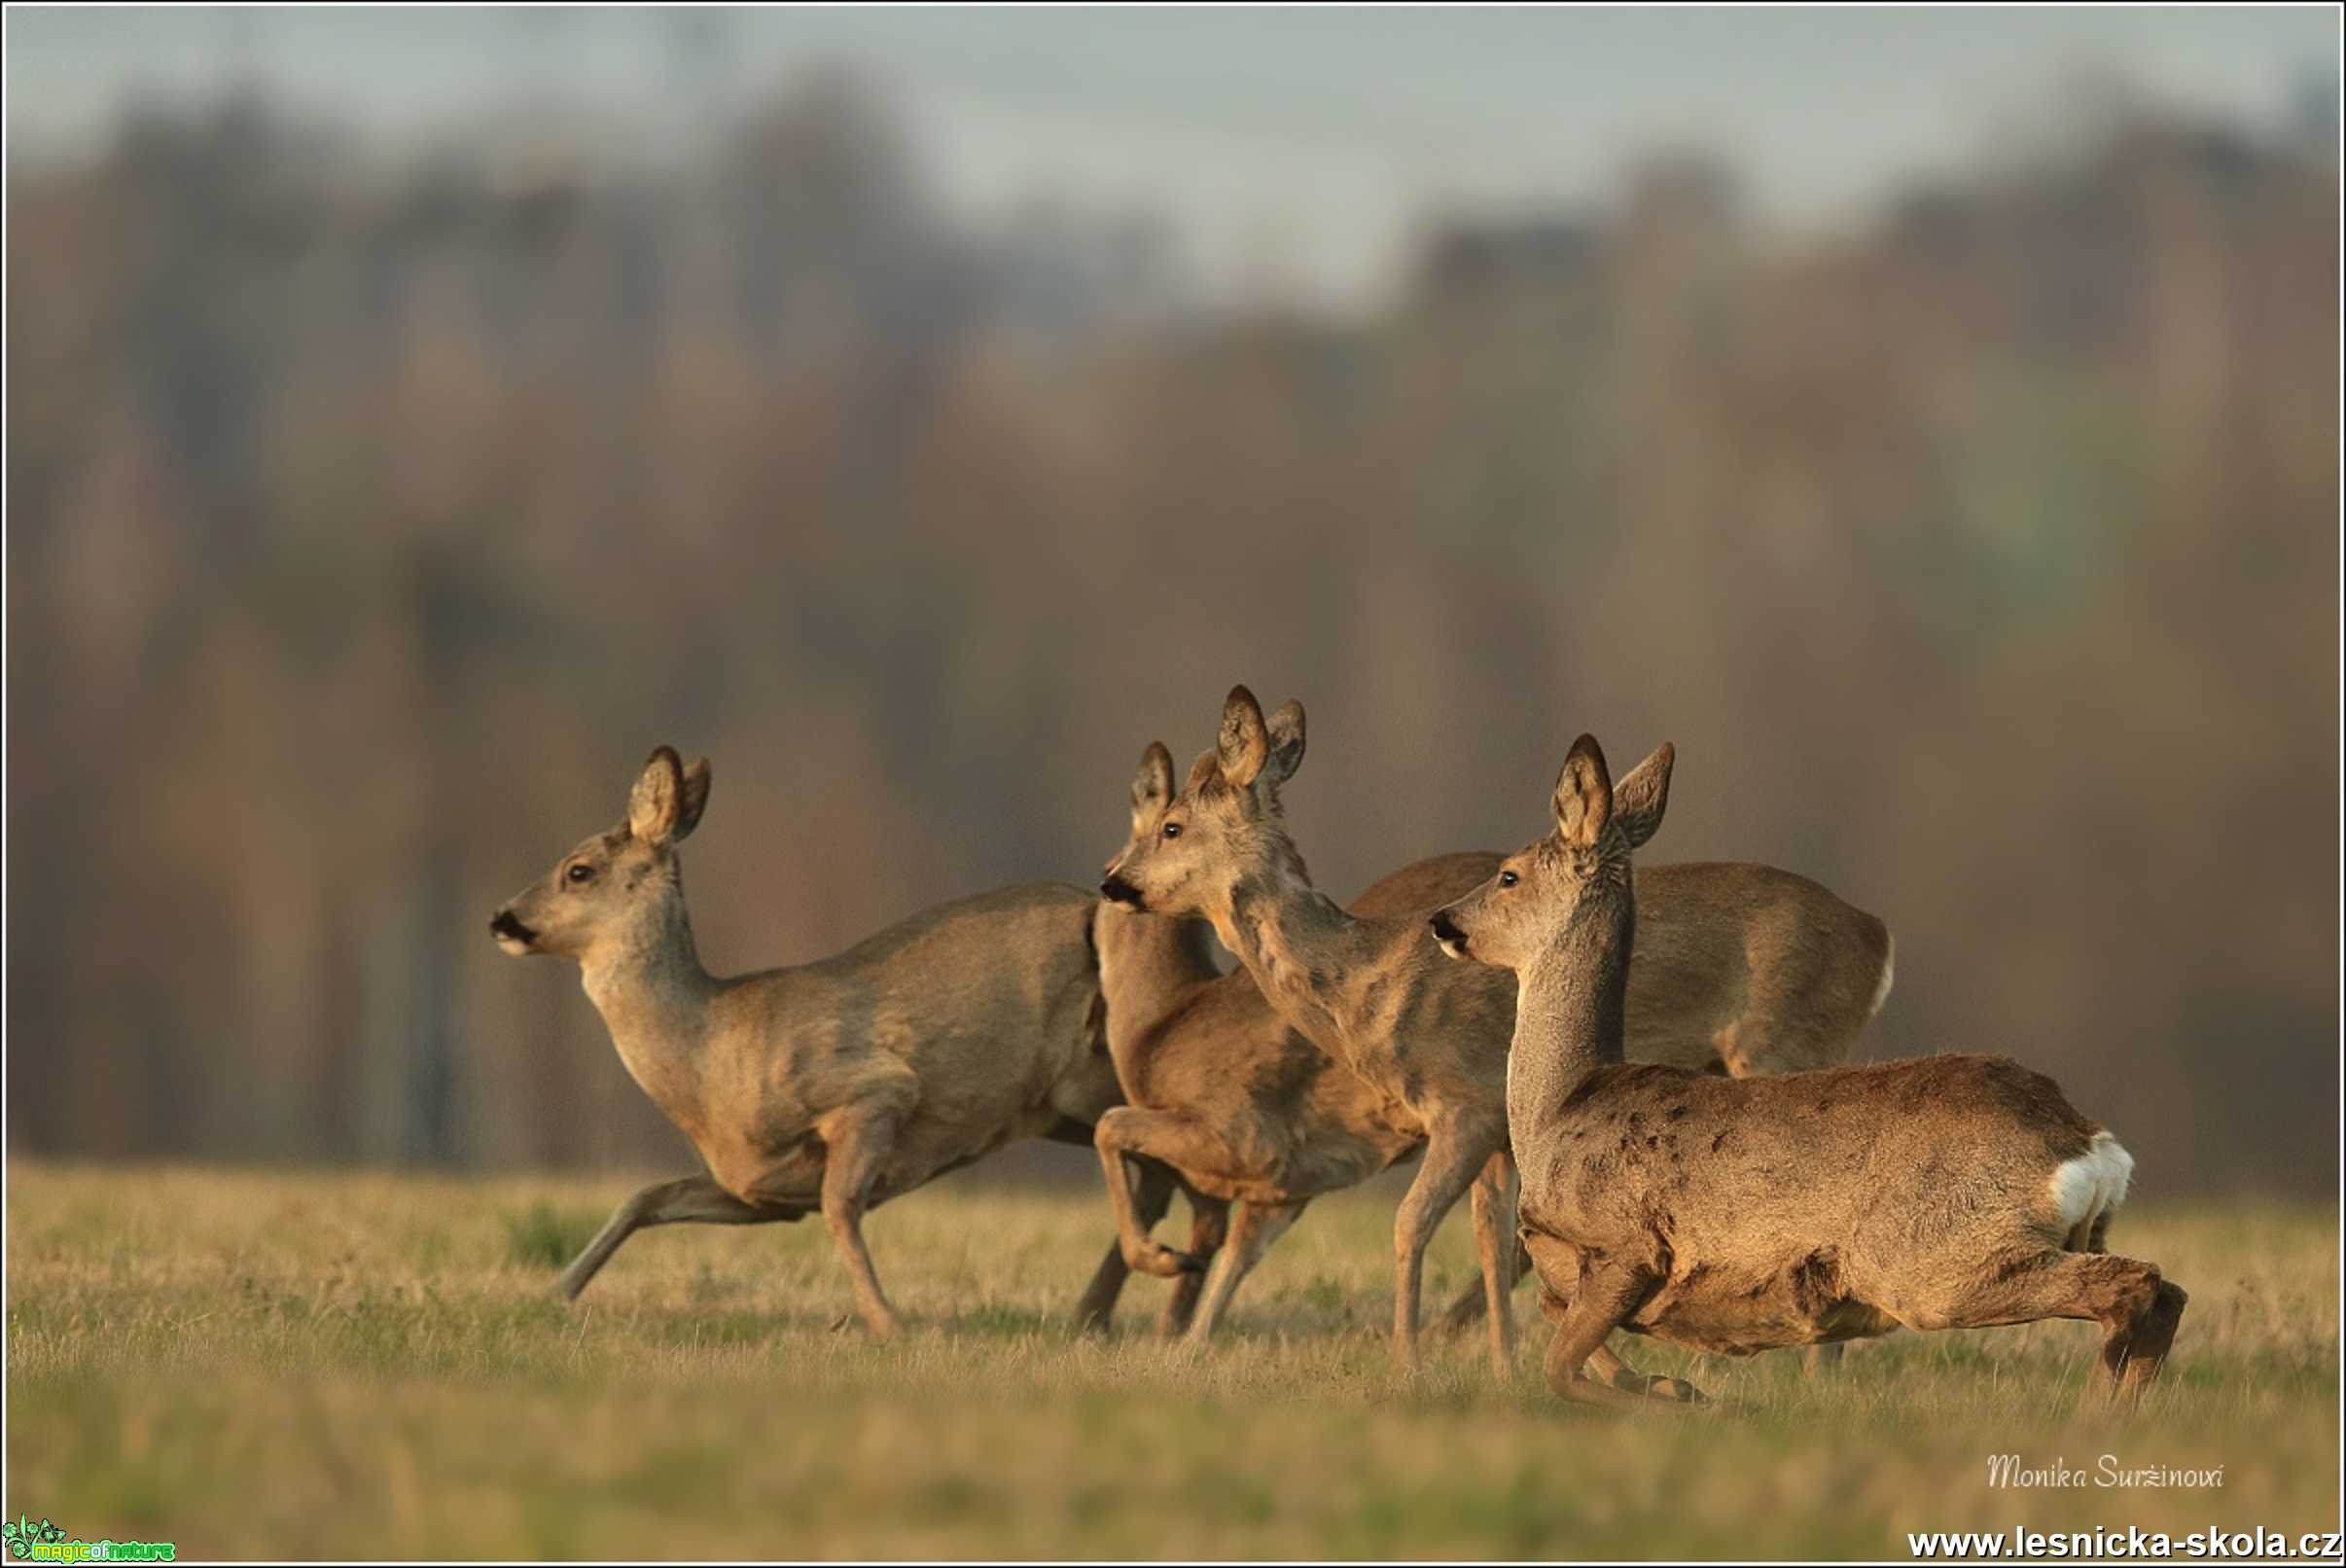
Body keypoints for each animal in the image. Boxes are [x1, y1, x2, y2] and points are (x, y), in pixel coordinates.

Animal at [497, 746, 1228, 1333]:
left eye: (578, 870)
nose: (501, 918)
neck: (712, 1052)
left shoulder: (871, 1091)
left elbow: (841, 1208)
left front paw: (888, 1323)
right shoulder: (755, 1189)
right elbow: (645, 1197)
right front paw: (553, 1293)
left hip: (1096, 1076)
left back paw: (1152, 1305)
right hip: (1058, 1107)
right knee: (1170, 1178)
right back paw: (1118, 1314)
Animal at [1416, 736, 2186, 1408]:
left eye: (1508, 875)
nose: (1441, 920)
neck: (1561, 1104)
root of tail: (2085, 1141)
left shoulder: (1626, 1244)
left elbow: (1561, 1368)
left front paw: (1692, 1400)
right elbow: (1561, 1329)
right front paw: (1672, 1386)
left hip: (1938, 1258)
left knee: (2134, 1287)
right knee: (2161, 1292)